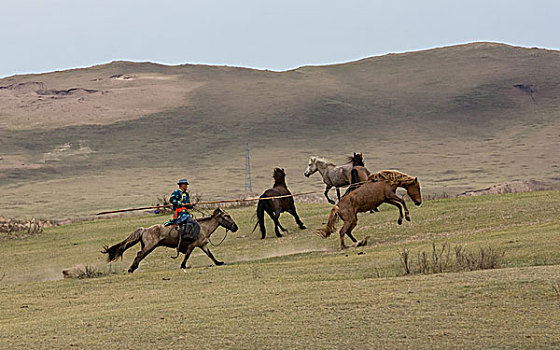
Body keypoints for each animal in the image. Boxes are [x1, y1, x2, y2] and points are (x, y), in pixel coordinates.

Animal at [101, 208, 237, 274]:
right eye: (227, 216)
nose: (235, 227)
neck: (203, 227)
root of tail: (144, 229)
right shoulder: (192, 245)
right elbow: (187, 255)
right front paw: (183, 266)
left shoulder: (202, 245)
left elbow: (210, 254)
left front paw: (219, 262)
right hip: (149, 246)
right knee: (139, 255)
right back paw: (131, 269)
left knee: (139, 254)